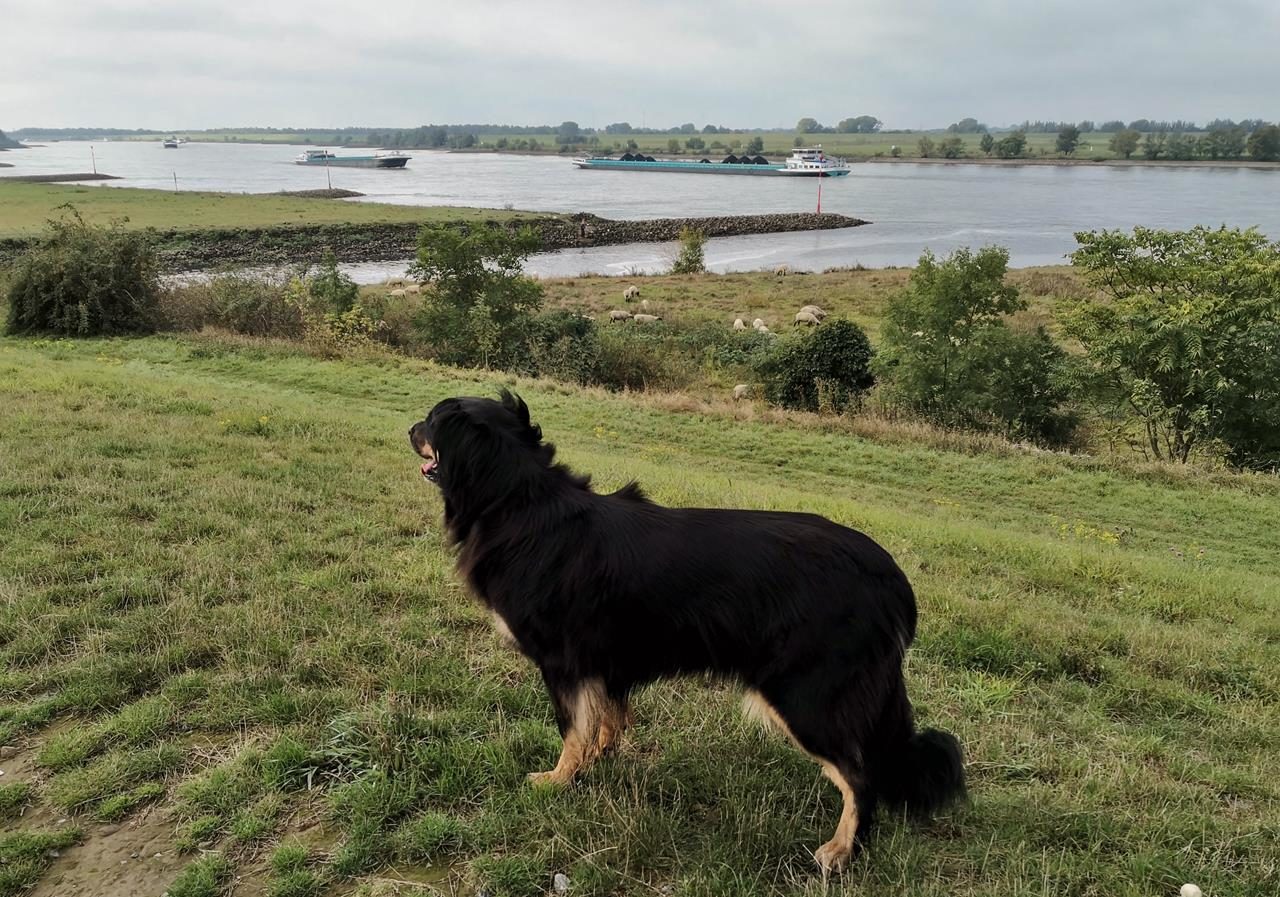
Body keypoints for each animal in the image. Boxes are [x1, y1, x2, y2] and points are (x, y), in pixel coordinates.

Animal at [409, 388, 962, 870]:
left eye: (433, 420)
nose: (409, 429)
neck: (519, 500)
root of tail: (891, 578)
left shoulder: (563, 664)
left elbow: (572, 729)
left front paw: (559, 779)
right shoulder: (607, 662)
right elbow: (607, 719)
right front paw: (600, 760)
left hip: (806, 697)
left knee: (860, 776)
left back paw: (841, 852)